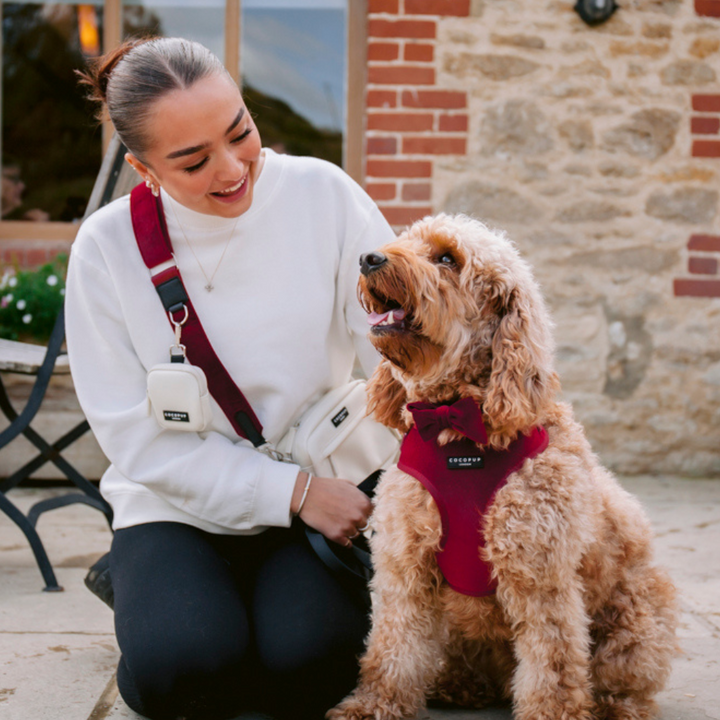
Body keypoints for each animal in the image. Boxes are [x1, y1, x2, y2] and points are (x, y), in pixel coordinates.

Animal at [330, 214, 676, 720]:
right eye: (404, 239)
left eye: (447, 258)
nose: (368, 258)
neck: (458, 427)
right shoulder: (405, 565)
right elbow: (393, 647)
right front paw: (375, 704)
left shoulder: (539, 575)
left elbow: (552, 664)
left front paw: (551, 712)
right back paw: (458, 684)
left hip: (635, 619)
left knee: (624, 678)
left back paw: (615, 706)